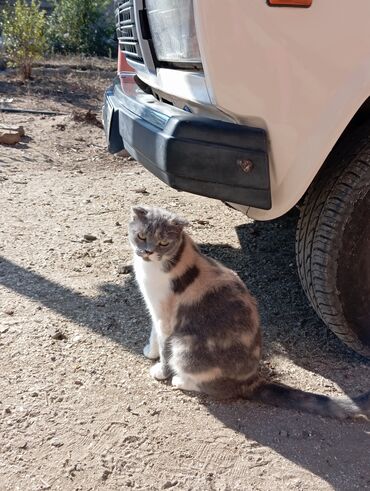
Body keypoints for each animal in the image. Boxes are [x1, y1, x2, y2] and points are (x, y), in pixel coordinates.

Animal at [128, 206, 370, 420]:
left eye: (163, 243)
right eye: (140, 236)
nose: (147, 252)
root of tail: (251, 380)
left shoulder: (167, 318)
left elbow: (165, 348)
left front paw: (161, 370)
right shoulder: (155, 309)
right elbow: (154, 334)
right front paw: (150, 351)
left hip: (185, 346)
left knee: (218, 389)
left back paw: (181, 380)